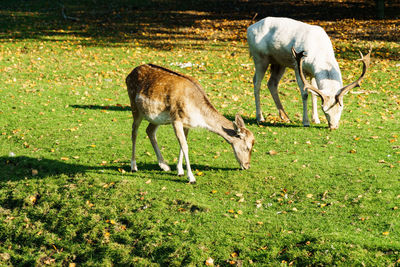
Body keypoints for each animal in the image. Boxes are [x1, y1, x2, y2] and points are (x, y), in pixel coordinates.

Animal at [126, 63, 255, 184]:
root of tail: (129, 75)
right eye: (247, 147)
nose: (247, 166)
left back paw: (164, 165)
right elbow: (185, 146)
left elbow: (183, 144)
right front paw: (191, 178)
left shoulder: (187, 123)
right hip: (135, 107)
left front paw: (180, 171)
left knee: (149, 130)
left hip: (156, 117)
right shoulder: (176, 119)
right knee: (134, 132)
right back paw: (134, 166)